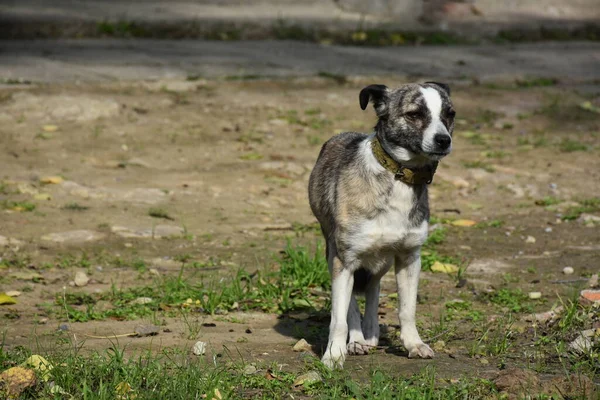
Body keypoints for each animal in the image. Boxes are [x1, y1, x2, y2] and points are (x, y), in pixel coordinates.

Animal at [310, 81, 454, 368]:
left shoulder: (410, 258)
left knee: (373, 287)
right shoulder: (344, 261)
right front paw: (334, 355)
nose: (444, 140)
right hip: (334, 252)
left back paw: (371, 334)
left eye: (450, 114)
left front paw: (413, 344)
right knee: (351, 303)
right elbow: (339, 318)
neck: (398, 176)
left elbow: (407, 310)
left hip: (382, 260)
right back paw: (356, 340)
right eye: (414, 114)